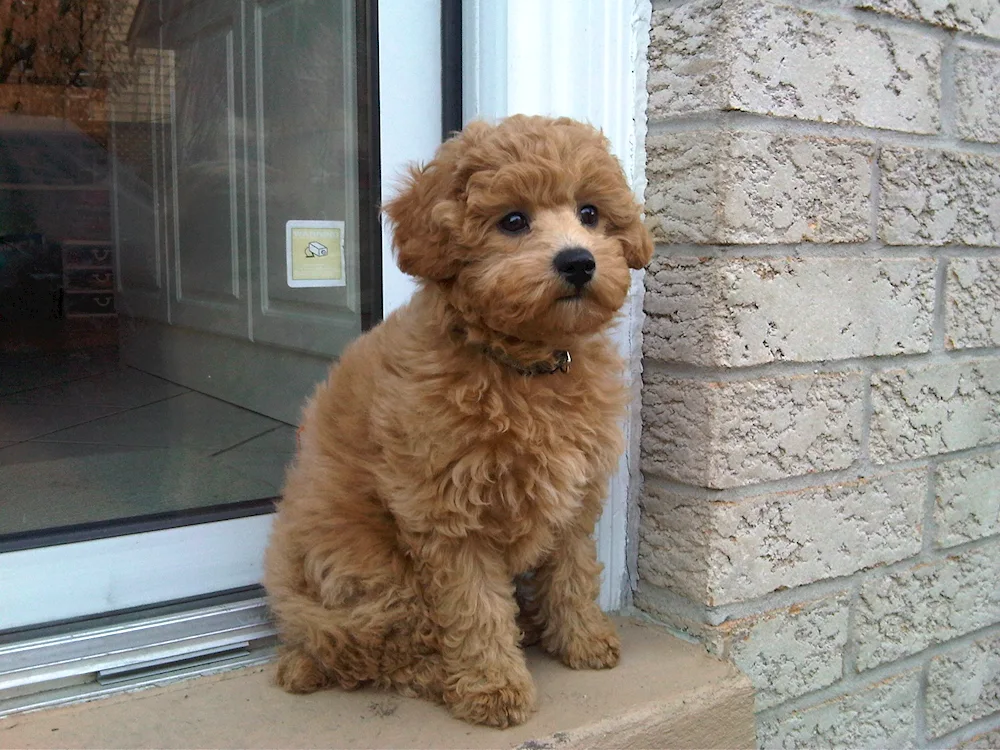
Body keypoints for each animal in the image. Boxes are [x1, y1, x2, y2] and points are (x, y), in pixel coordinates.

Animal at [266, 113, 652, 728]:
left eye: (590, 213)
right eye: (513, 221)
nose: (578, 261)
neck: (522, 368)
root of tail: (298, 627)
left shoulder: (574, 497)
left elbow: (572, 572)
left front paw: (584, 640)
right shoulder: (447, 514)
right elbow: (474, 608)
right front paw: (494, 686)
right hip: (371, 573)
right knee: (380, 650)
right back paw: (440, 676)